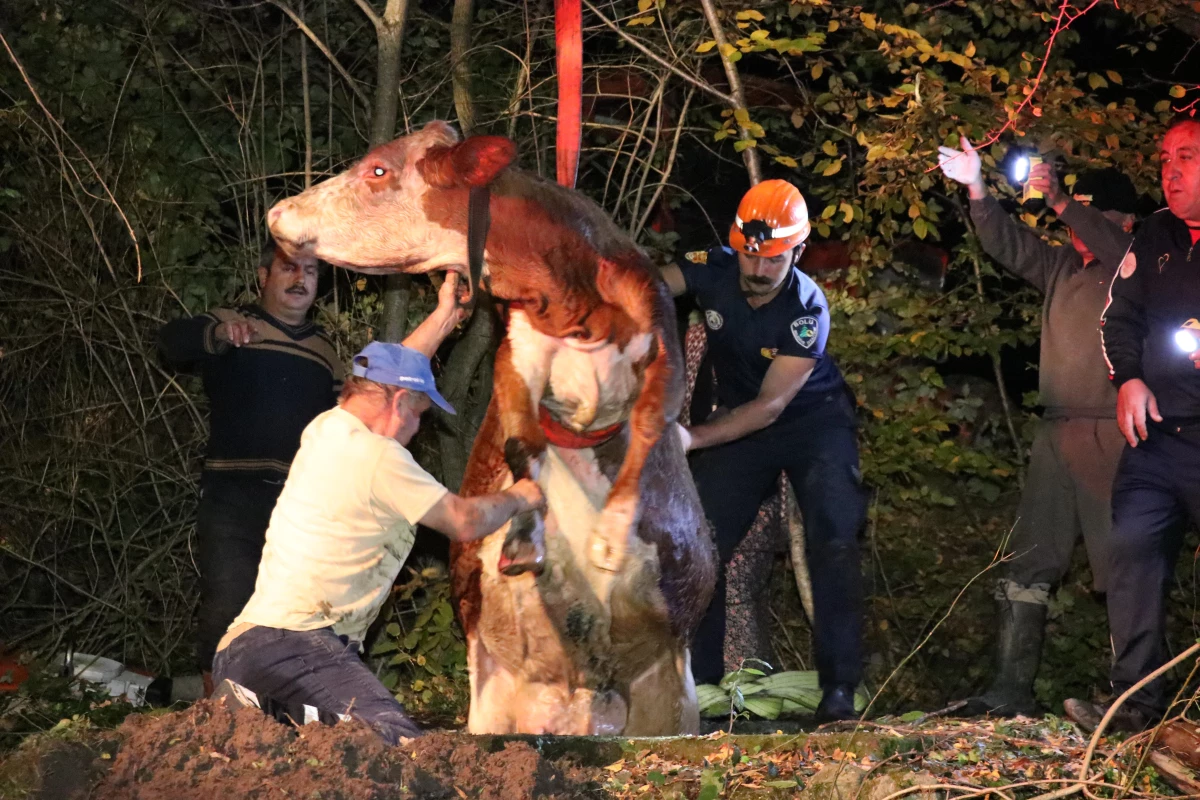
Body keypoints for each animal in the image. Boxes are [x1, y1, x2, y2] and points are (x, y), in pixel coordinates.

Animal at [268, 120, 715, 738]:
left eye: (379, 169)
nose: (279, 212)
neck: (569, 299)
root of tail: (582, 703)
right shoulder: (519, 351)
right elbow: (521, 438)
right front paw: (526, 536)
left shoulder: (660, 325)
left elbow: (654, 412)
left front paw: (611, 531)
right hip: (492, 694)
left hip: (671, 691)